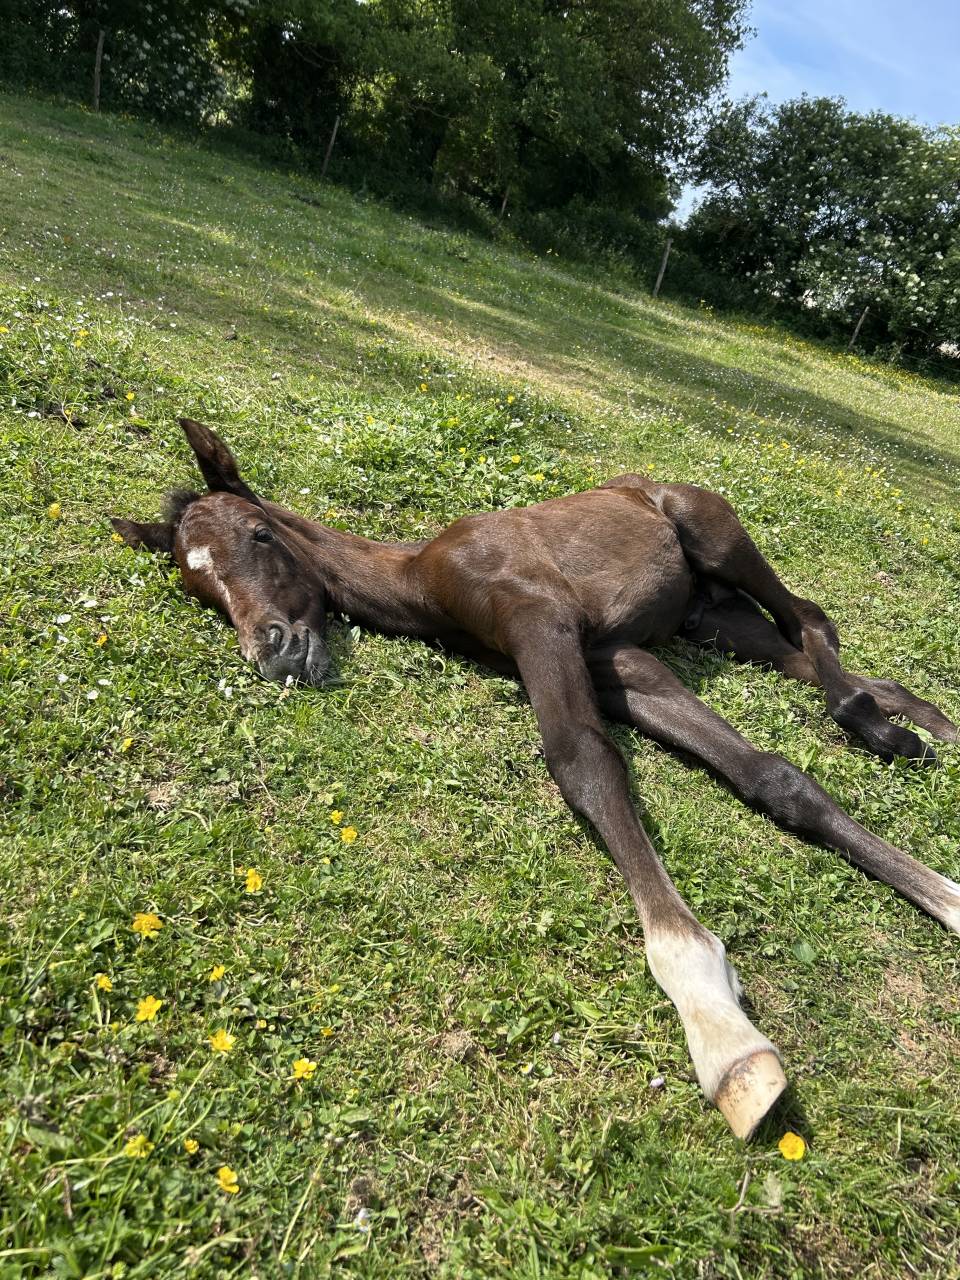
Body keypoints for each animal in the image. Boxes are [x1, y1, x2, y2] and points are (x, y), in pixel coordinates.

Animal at [111, 418, 959, 1139]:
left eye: (259, 534)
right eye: (197, 583)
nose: (277, 652)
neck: (423, 578)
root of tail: (648, 482)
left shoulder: (544, 622)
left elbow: (584, 766)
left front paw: (719, 1029)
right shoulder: (620, 663)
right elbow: (770, 776)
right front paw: (946, 894)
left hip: (715, 537)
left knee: (809, 618)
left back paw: (877, 723)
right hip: (712, 621)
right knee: (806, 647)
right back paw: (918, 727)